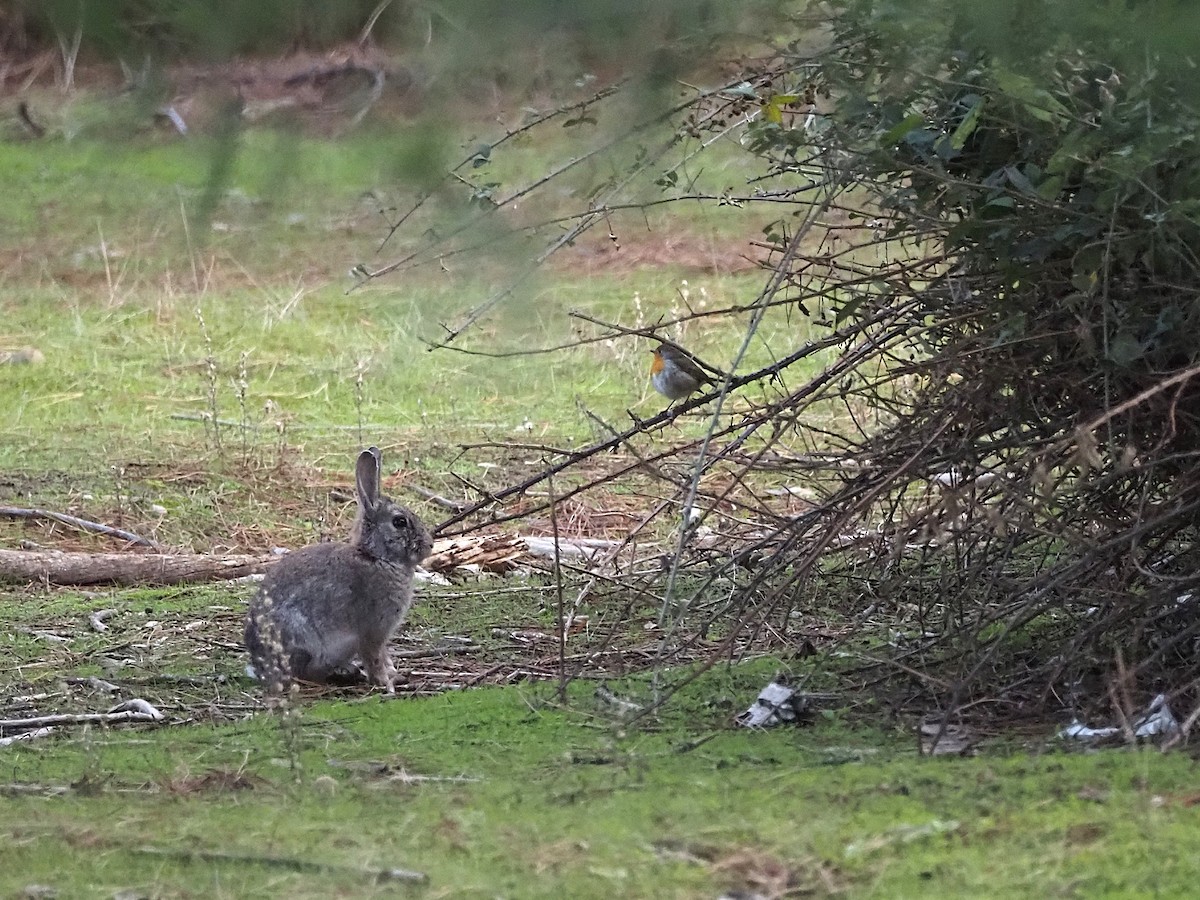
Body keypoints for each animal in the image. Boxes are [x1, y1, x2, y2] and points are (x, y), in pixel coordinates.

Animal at [244, 446, 433, 694]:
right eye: (400, 522)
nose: (430, 545)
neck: (377, 557)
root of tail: (260, 663)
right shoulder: (372, 631)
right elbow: (374, 657)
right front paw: (384, 683)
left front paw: (393, 675)